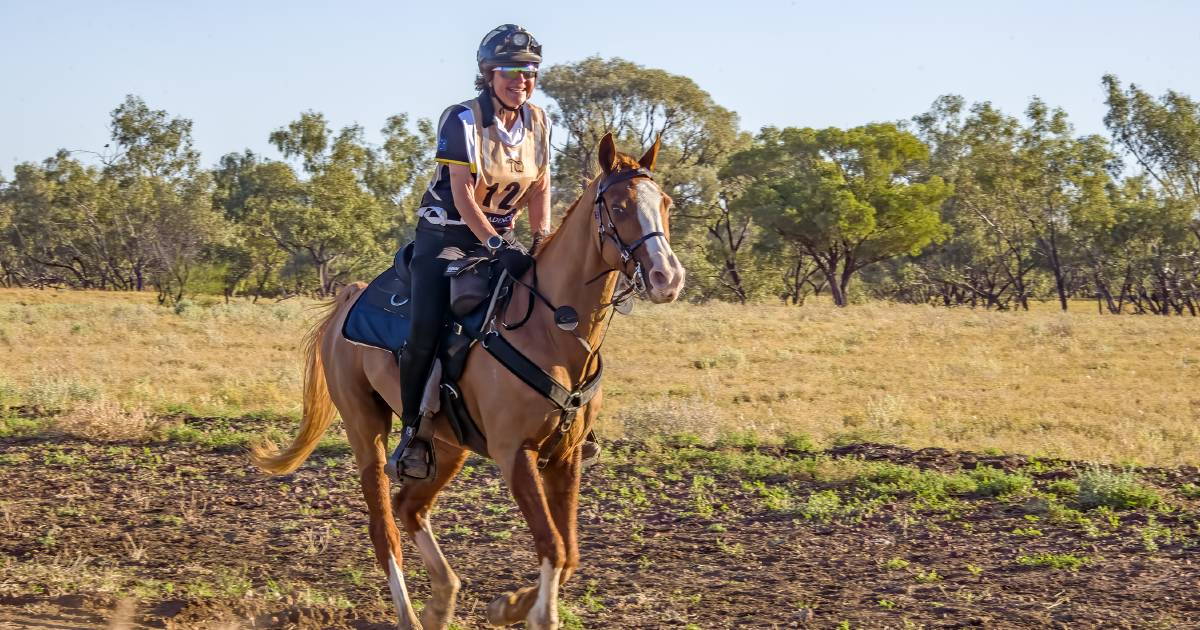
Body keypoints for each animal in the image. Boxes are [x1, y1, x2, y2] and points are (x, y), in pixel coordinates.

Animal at [250, 133, 686, 628]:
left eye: (665, 203)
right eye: (619, 205)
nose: (667, 277)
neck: (552, 326)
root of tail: (351, 295)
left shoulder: (565, 455)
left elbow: (569, 551)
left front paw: (509, 605)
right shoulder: (515, 453)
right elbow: (552, 545)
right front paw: (531, 612)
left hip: (447, 444)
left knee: (409, 506)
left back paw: (442, 599)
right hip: (366, 428)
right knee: (384, 526)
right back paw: (410, 614)